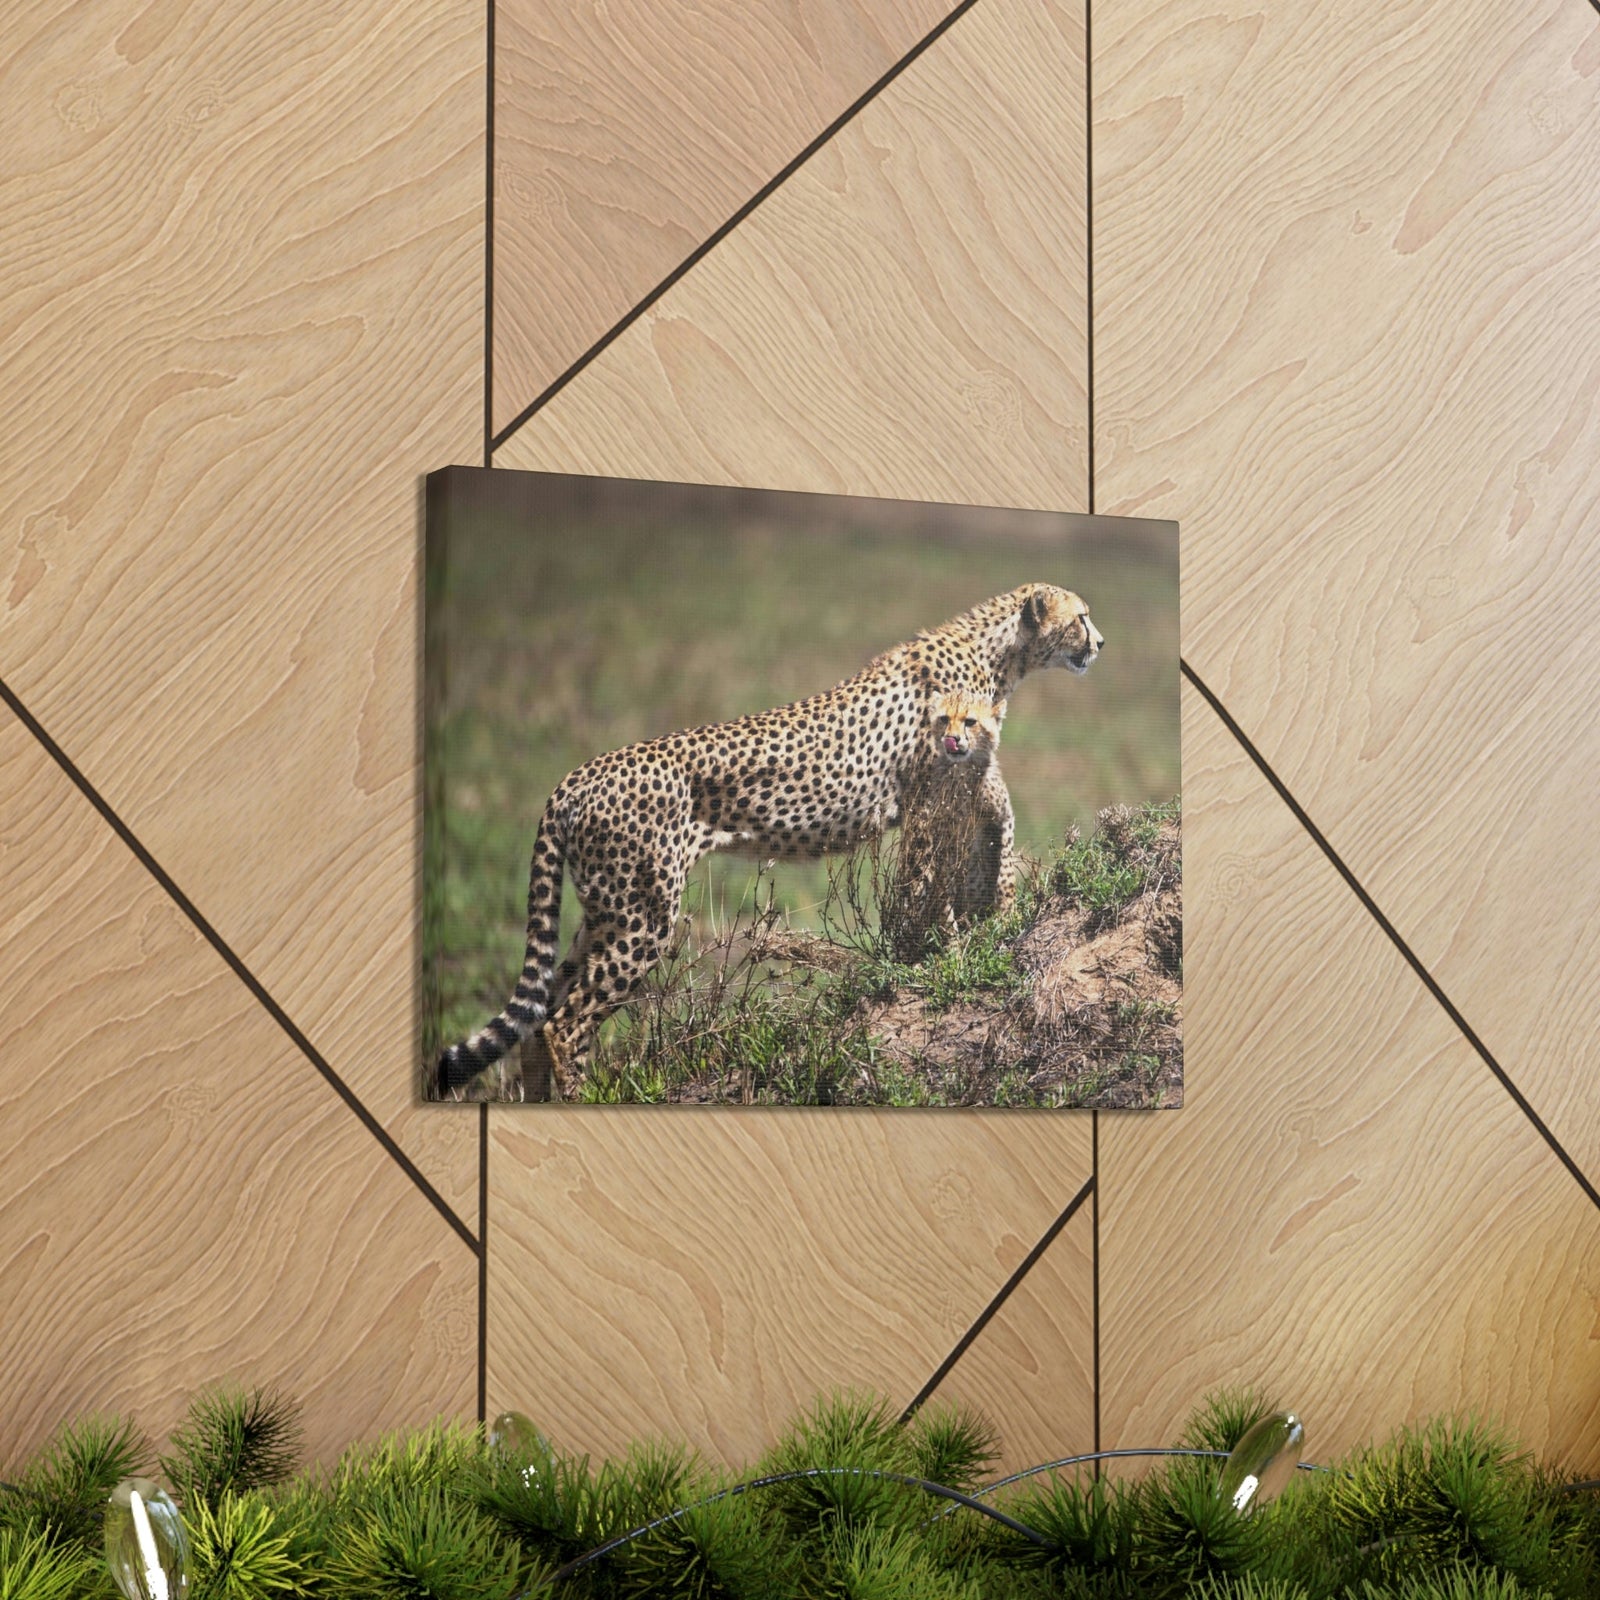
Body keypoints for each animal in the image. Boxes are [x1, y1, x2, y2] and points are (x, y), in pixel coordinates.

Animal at [434, 583, 1103, 1099]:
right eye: (1082, 615)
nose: (1099, 643)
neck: (999, 653)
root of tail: (574, 776)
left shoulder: (967, 783)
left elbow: (992, 841)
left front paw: (984, 927)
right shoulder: (930, 800)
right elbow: (933, 879)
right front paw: (937, 951)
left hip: (605, 912)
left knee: (540, 1014)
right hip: (642, 918)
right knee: (564, 1023)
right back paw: (580, 1101)